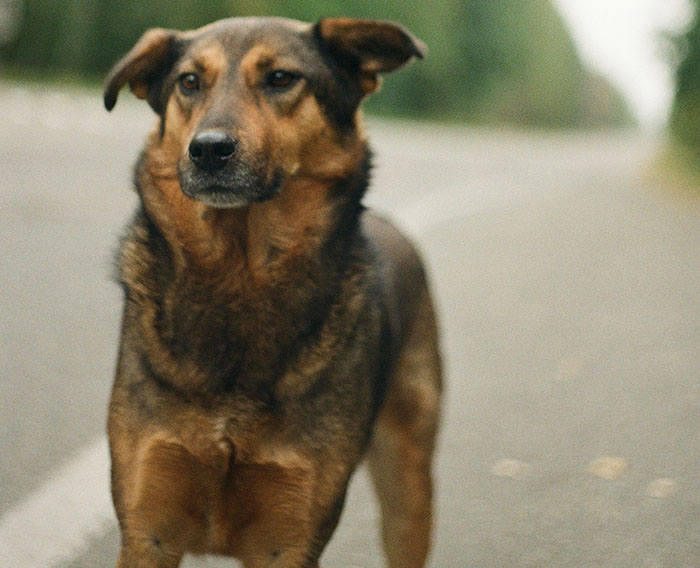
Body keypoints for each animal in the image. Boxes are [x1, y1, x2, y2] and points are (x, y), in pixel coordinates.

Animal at [102, 16, 442, 568]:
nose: (208, 149)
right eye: (189, 82)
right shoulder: (147, 529)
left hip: (408, 484)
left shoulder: (290, 536)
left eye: (281, 78)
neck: (239, 273)